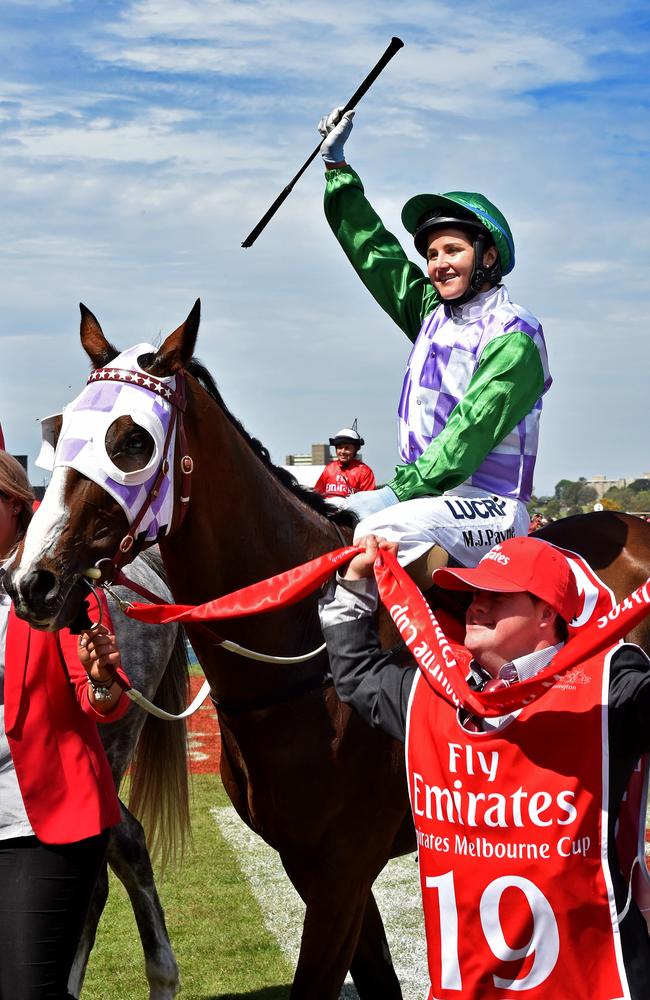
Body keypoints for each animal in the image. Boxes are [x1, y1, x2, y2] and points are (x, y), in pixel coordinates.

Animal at [5, 298, 648, 1000]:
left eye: (131, 443)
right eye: (61, 430)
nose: (30, 580)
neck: (303, 660)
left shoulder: (343, 866)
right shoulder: (311, 862)